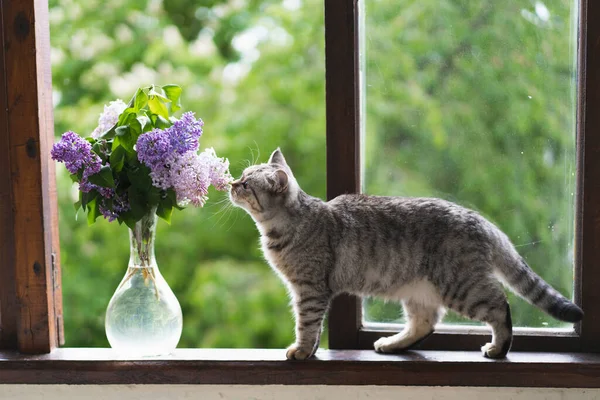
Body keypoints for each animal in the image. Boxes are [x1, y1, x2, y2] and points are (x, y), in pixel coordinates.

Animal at [229, 148, 580, 360]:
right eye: (240, 177)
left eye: (246, 184)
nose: (231, 183)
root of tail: (479, 219)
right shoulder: (307, 291)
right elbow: (313, 327)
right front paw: (311, 350)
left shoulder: (310, 289)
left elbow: (306, 324)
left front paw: (302, 351)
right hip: (418, 292)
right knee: (425, 323)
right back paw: (392, 343)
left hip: (462, 286)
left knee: (500, 305)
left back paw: (498, 347)